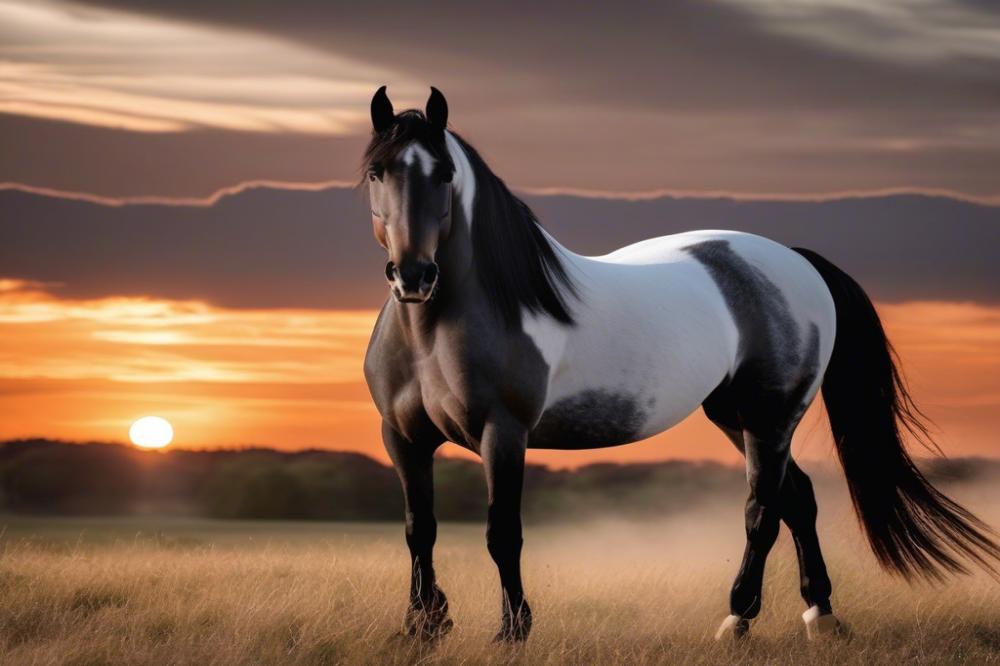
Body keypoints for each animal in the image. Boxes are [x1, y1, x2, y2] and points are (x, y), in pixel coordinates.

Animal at [361, 86, 1000, 643]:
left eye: (445, 174)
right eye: (376, 172)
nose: (414, 276)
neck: (439, 329)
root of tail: (795, 259)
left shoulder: (504, 433)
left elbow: (502, 533)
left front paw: (511, 632)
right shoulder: (402, 438)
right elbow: (419, 529)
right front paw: (422, 626)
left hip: (770, 418)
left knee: (763, 510)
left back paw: (737, 621)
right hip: (733, 415)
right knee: (798, 498)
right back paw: (820, 616)